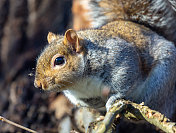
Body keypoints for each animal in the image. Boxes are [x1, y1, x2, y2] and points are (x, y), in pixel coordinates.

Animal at [34, 0, 176, 119]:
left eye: (59, 61)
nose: (38, 84)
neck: (79, 83)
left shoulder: (122, 60)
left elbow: (125, 84)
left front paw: (113, 98)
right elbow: (83, 102)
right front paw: (95, 104)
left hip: (160, 82)